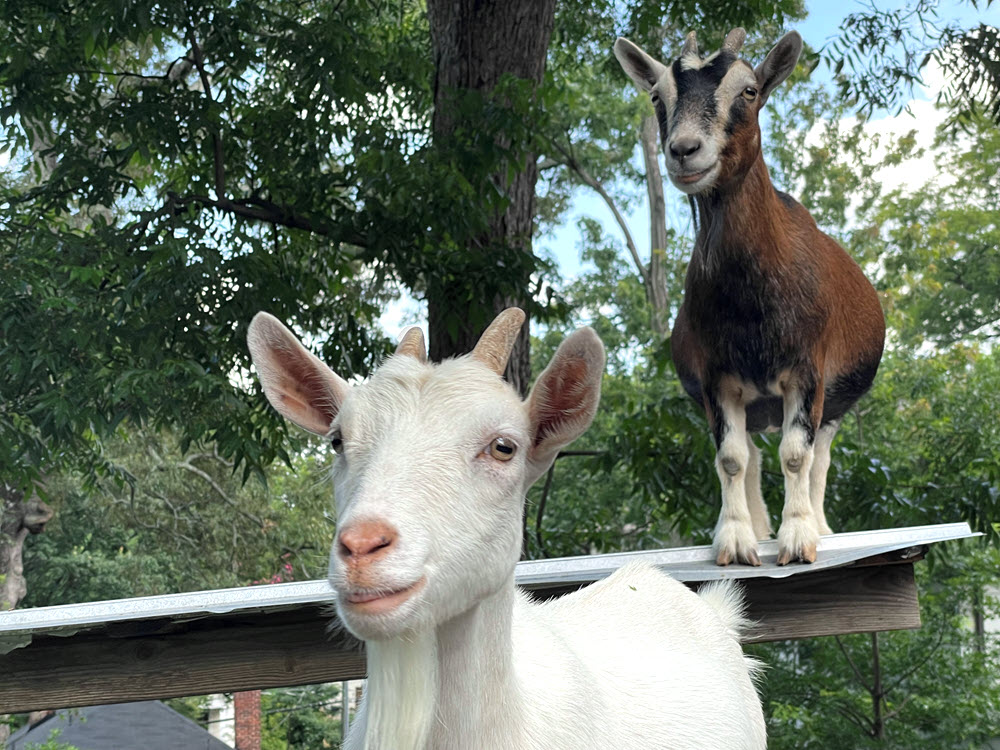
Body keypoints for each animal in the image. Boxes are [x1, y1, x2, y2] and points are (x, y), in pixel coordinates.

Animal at [615, 29, 885, 566]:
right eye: (657, 96)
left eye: (749, 91)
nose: (684, 150)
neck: (751, 305)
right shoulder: (717, 380)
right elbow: (732, 458)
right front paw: (737, 540)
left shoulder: (807, 371)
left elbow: (797, 455)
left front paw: (798, 537)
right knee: (755, 454)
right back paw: (758, 527)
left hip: (833, 401)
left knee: (819, 457)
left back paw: (820, 526)